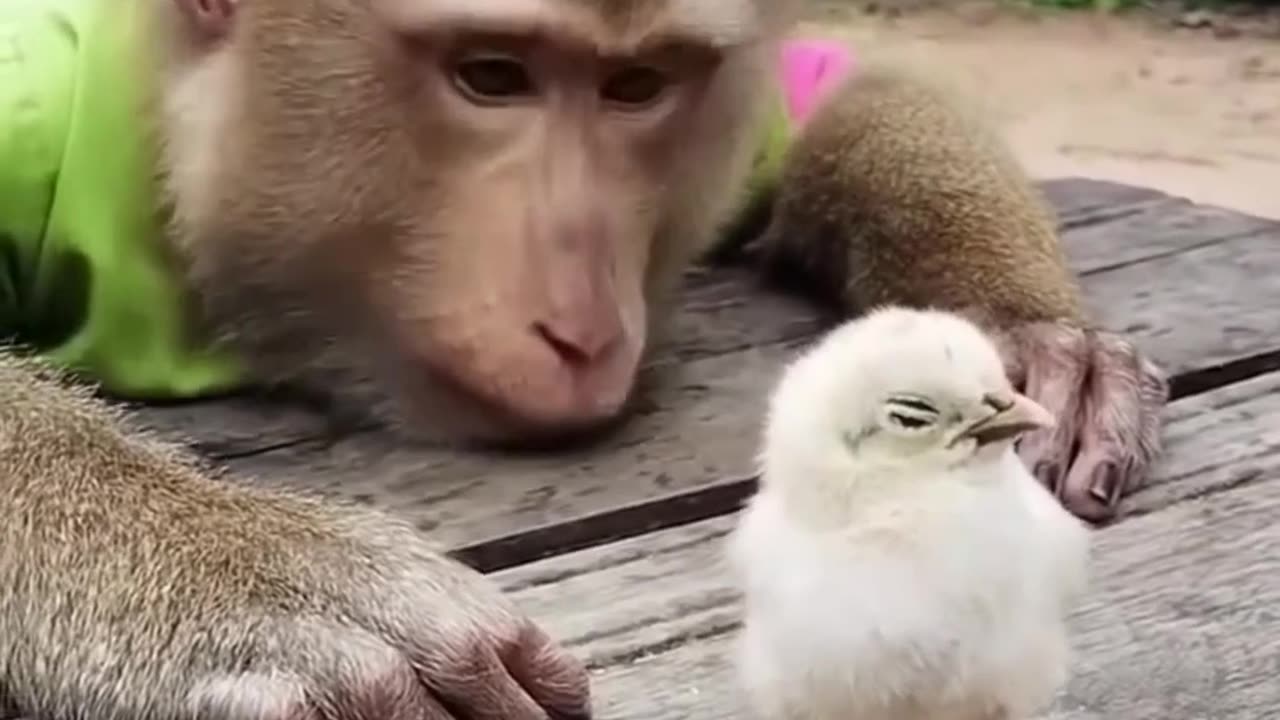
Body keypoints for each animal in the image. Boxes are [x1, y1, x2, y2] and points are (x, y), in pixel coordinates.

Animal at [0, 0, 1168, 717]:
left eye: (637, 86)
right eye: (490, 76)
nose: (586, 327)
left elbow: (838, 89)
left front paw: (1018, 330)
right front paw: (249, 572)